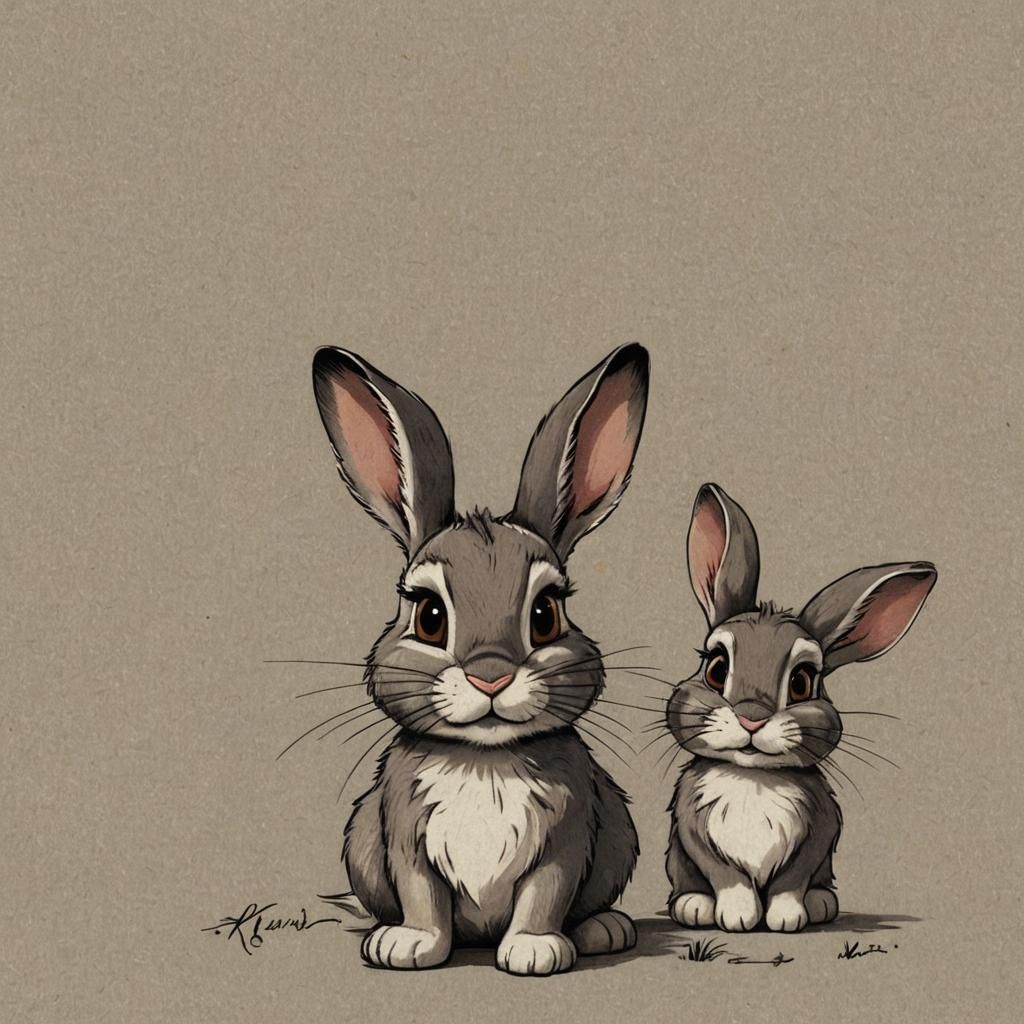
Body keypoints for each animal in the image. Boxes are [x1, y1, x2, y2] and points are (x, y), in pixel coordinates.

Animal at [310, 344, 649, 974]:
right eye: (428, 617)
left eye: (545, 614)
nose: (489, 676)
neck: (484, 760)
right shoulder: (403, 836)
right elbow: (422, 894)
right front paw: (408, 945)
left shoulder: (567, 840)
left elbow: (546, 894)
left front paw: (534, 951)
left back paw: (603, 930)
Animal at [664, 482, 937, 934]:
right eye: (716, 668)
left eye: (802, 683)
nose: (751, 717)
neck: (753, 779)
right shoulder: (693, 828)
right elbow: (726, 874)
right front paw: (738, 916)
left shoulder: (820, 829)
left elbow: (791, 879)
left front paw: (786, 918)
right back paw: (693, 906)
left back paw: (821, 903)